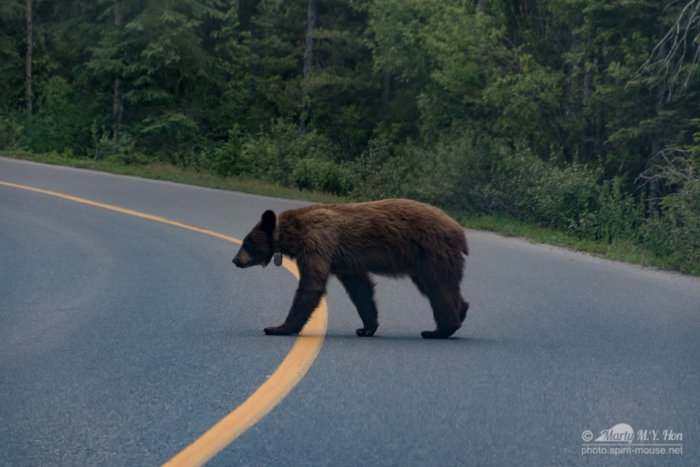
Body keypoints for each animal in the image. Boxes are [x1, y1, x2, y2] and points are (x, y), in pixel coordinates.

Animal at [232, 198, 469, 339]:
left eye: (247, 242)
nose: (235, 260)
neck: (294, 233)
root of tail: (459, 230)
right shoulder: (344, 262)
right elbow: (360, 289)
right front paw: (366, 327)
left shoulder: (319, 244)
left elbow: (311, 286)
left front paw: (278, 327)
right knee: (441, 287)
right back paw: (461, 313)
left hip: (431, 252)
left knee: (437, 288)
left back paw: (439, 330)